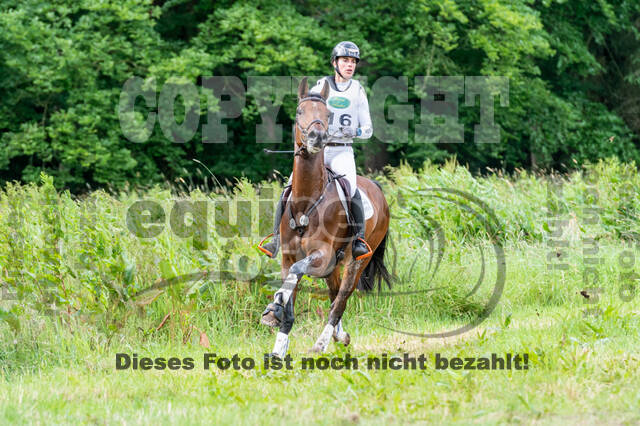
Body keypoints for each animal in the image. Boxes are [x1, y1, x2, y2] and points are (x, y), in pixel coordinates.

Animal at [258, 77, 392, 358]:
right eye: (300, 112)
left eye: (327, 114)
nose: (317, 137)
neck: (306, 202)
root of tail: (376, 187)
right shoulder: (288, 256)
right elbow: (290, 290)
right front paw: (278, 347)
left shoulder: (320, 256)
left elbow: (296, 275)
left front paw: (276, 304)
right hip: (335, 265)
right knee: (333, 294)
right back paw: (339, 336)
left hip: (356, 261)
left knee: (340, 300)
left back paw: (322, 343)